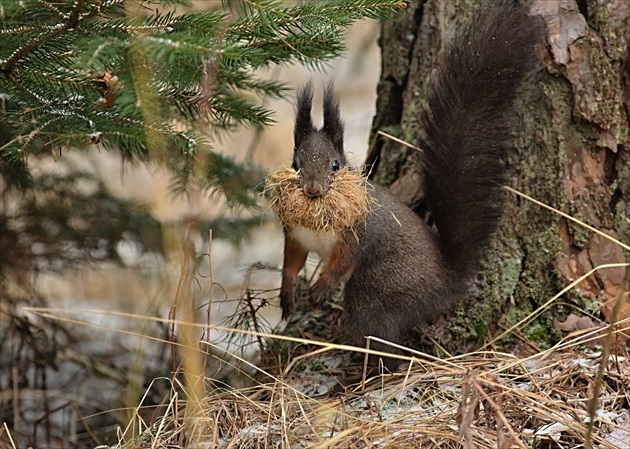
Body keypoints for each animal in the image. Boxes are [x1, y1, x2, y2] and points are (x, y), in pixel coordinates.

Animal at [280, 2, 544, 368]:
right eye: (295, 164)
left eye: (336, 165)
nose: (313, 190)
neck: (319, 217)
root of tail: (449, 275)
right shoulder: (294, 232)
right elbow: (291, 261)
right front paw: (286, 296)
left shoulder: (358, 231)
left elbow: (344, 259)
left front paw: (321, 289)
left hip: (387, 283)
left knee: (376, 324)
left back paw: (378, 371)